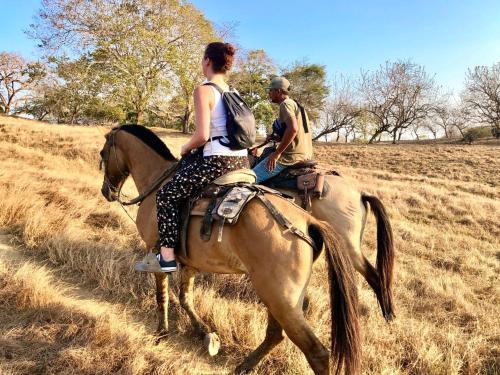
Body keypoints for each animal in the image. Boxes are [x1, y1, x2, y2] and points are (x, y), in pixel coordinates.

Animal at [99, 126, 362, 375]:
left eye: (103, 154)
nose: (106, 191)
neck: (158, 182)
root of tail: (309, 221)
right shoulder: (190, 264)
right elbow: (186, 299)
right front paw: (205, 333)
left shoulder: (157, 253)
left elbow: (161, 296)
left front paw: (161, 333)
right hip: (278, 298)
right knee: (275, 335)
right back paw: (243, 366)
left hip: (281, 299)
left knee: (317, 352)